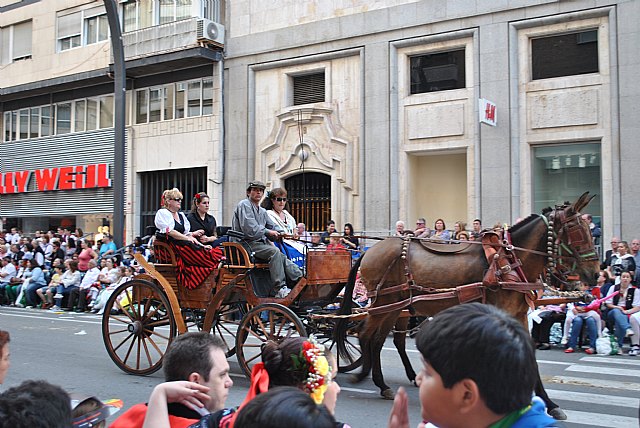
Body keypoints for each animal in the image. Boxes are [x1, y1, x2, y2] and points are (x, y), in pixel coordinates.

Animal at [336, 192, 600, 420]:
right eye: (577, 230)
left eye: (589, 229)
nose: (595, 274)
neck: (510, 262)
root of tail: (369, 250)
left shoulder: (518, 315)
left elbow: (529, 357)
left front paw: (549, 403)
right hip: (386, 302)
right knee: (368, 335)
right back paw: (369, 377)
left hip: (395, 306)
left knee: (381, 340)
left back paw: (384, 380)